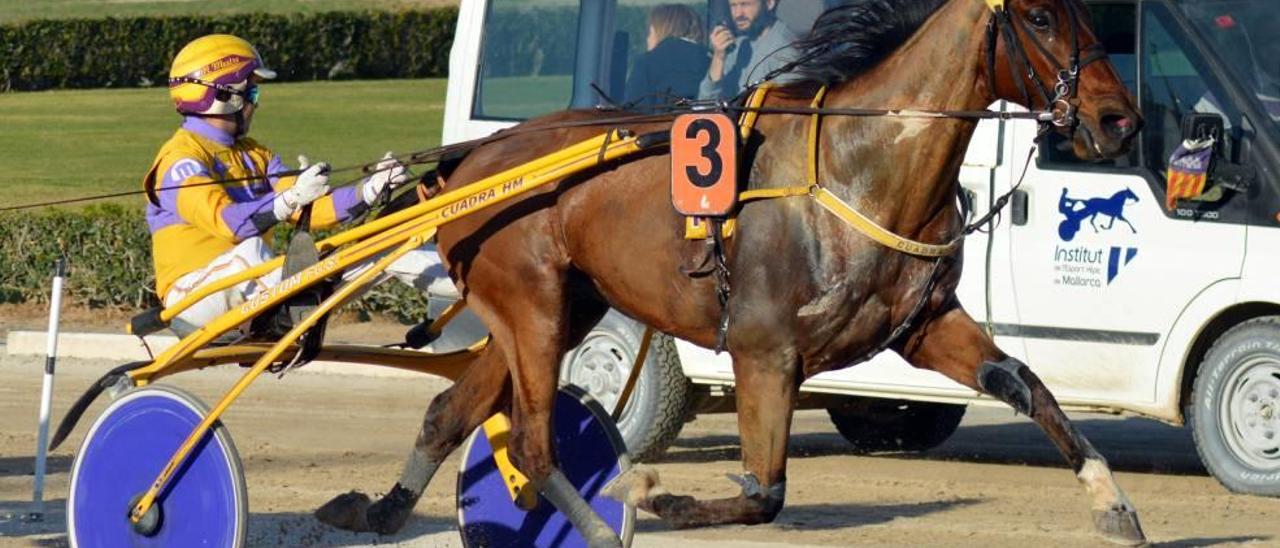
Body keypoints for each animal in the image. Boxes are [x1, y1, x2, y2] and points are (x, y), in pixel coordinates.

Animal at [314, 0, 1146, 545]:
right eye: (1038, 18)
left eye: (1086, 13)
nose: (1118, 120)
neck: (860, 169)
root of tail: (471, 159)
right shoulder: (764, 350)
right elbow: (764, 494)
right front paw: (652, 494)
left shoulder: (923, 326)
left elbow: (1028, 385)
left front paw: (1113, 504)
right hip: (534, 308)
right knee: (532, 445)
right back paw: (603, 516)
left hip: (553, 309)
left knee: (451, 412)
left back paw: (377, 510)